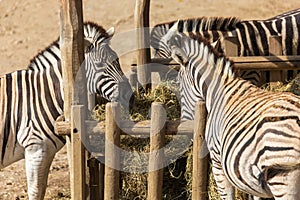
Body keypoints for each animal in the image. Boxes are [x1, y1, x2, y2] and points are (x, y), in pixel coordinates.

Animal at [0, 21, 134, 198]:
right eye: (99, 64)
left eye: (117, 60)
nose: (130, 97)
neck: (46, 94)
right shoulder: (35, 148)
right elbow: (35, 192)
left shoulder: (46, 152)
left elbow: (41, 189)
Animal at [162, 23, 300, 198]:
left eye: (179, 84)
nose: (184, 124)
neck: (218, 91)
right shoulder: (253, 181)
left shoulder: (217, 161)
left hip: (281, 175)